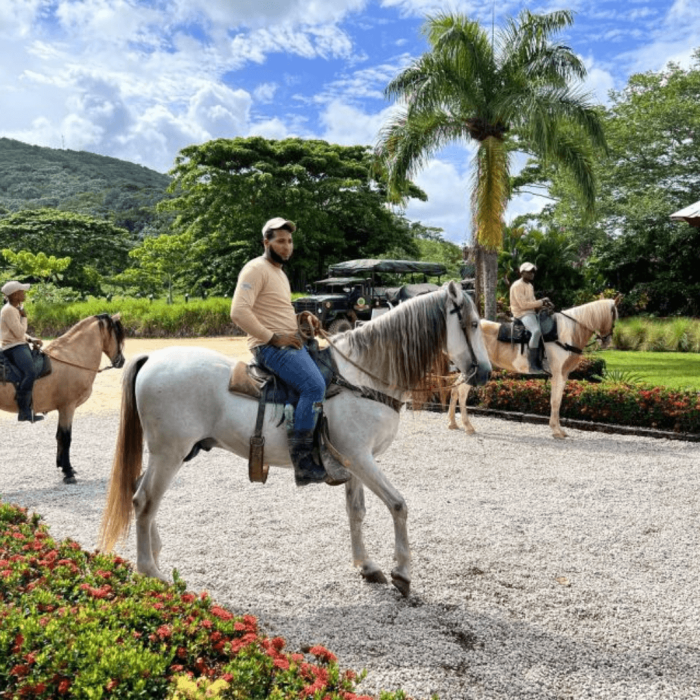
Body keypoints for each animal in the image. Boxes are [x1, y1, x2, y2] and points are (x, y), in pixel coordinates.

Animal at [0, 313, 126, 484]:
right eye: (117, 334)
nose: (122, 361)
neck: (73, 358)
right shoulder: (68, 407)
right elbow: (66, 438)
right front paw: (68, 472)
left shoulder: (63, 409)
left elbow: (60, 436)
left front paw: (63, 466)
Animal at [99, 281, 491, 596]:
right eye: (473, 324)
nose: (485, 373)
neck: (363, 377)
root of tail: (152, 359)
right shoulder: (361, 457)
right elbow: (398, 505)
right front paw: (403, 573)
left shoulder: (353, 462)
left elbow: (357, 511)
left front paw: (367, 566)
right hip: (169, 453)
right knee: (144, 501)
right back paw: (151, 571)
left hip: (172, 454)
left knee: (142, 495)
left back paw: (155, 553)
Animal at [447, 297, 619, 440]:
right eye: (614, 316)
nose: (607, 341)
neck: (566, 333)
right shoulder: (557, 374)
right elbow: (554, 401)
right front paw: (556, 431)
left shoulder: (564, 375)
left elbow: (558, 401)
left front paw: (560, 430)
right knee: (462, 392)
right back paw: (468, 426)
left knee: (454, 389)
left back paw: (453, 423)